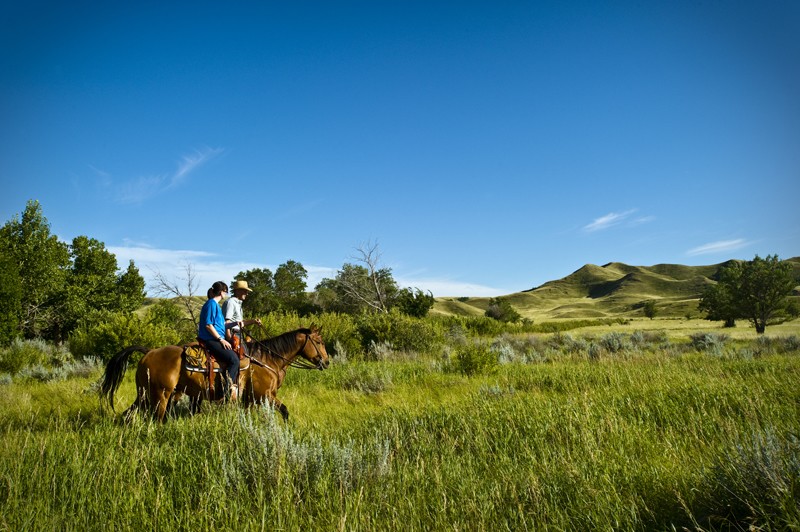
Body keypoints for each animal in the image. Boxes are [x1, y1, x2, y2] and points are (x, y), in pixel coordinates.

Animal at [101, 326, 332, 422]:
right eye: (319, 341)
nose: (326, 361)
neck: (267, 359)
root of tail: (148, 352)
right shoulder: (264, 395)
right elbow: (285, 412)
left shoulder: (250, 400)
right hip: (160, 395)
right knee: (156, 418)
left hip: (146, 393)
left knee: (128, 413)